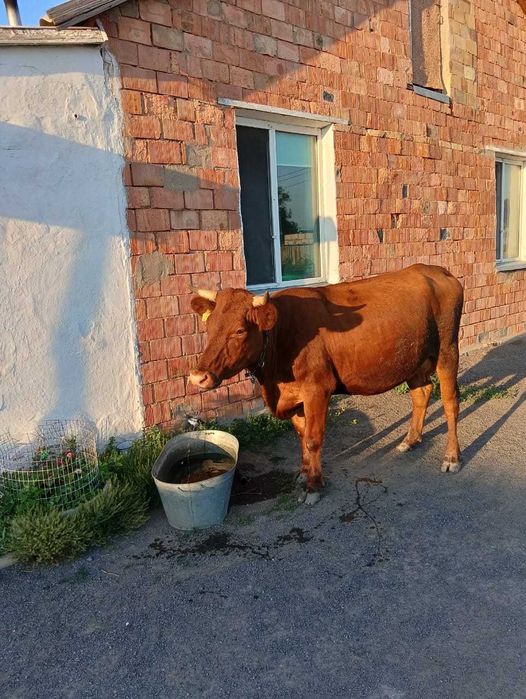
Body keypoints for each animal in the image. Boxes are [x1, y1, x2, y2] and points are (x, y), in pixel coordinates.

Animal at [189, 264, 464, 503]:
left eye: (239, 330)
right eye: (209, 326)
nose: (198, 376)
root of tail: (436, 270)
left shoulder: (317, 389)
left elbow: (313, 438)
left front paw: (313, 487)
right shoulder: (295, 396)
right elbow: (301, 436)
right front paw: (304, 474)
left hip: (447, 349)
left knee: (450, 402)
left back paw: (451, 457)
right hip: (412, 357)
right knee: (422, 392)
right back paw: (410, 440)